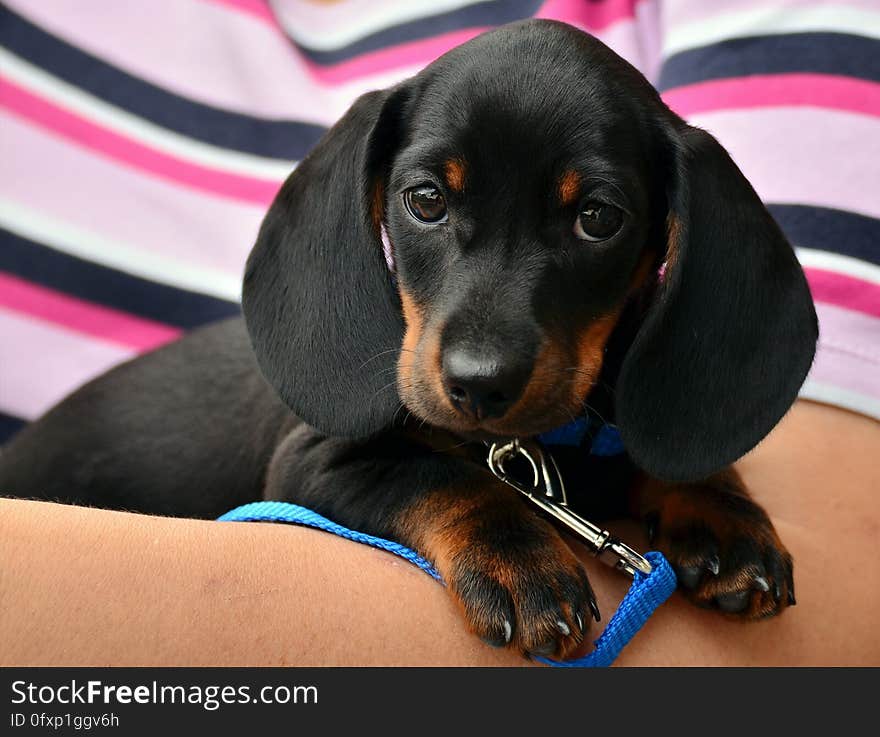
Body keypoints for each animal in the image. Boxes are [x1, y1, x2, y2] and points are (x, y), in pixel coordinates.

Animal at [0, 20, 820, 660]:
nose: (479, 384)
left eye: (598, 217)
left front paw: (721, 509)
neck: (539, 450)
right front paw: (520, 557)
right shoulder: (312, 462)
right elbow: (440, 476)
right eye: (425, 199)